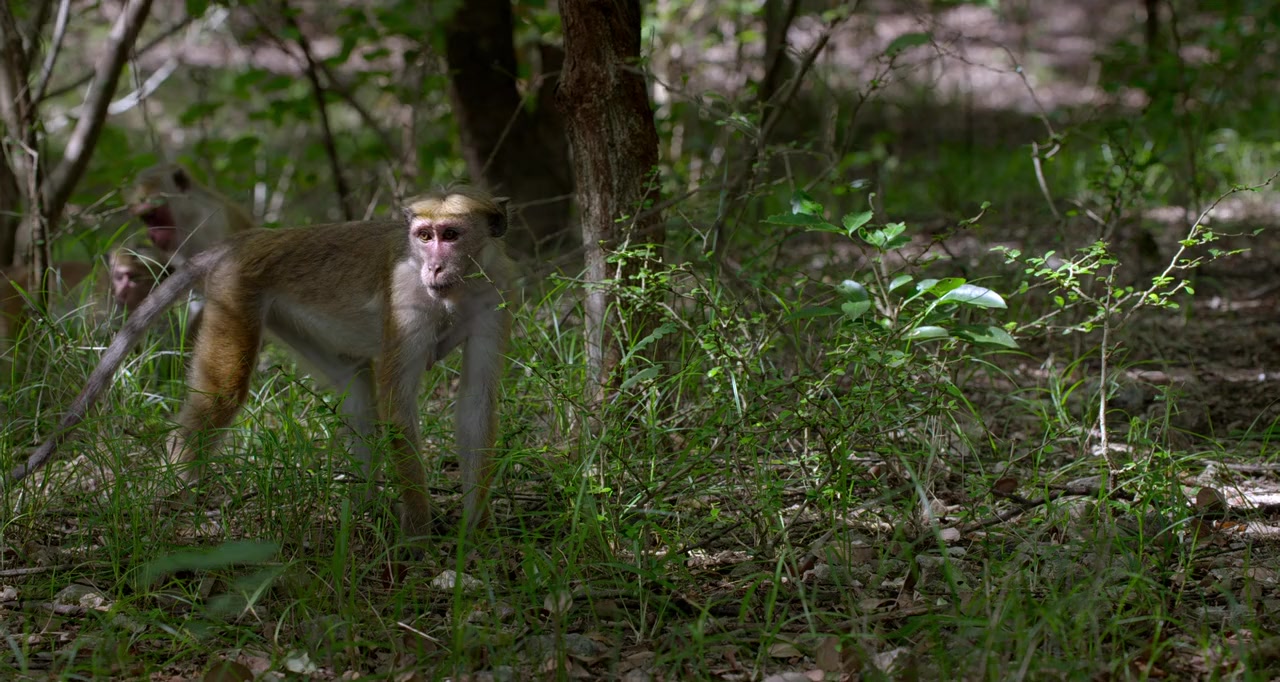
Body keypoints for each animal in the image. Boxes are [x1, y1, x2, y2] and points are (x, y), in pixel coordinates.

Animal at [13, 187, 516, 543]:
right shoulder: (406, 296)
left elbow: (475, 404)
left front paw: (476, 528)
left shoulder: (495, 295)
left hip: (291, 318)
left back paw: (365, 502)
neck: (452, 292)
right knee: (223, 392)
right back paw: (177, 495)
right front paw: (418, 530)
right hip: (236, 292)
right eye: (424, 236)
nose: (433, 268)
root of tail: (249, 240)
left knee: (354, 379)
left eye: (450, 235)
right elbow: (399, 408)